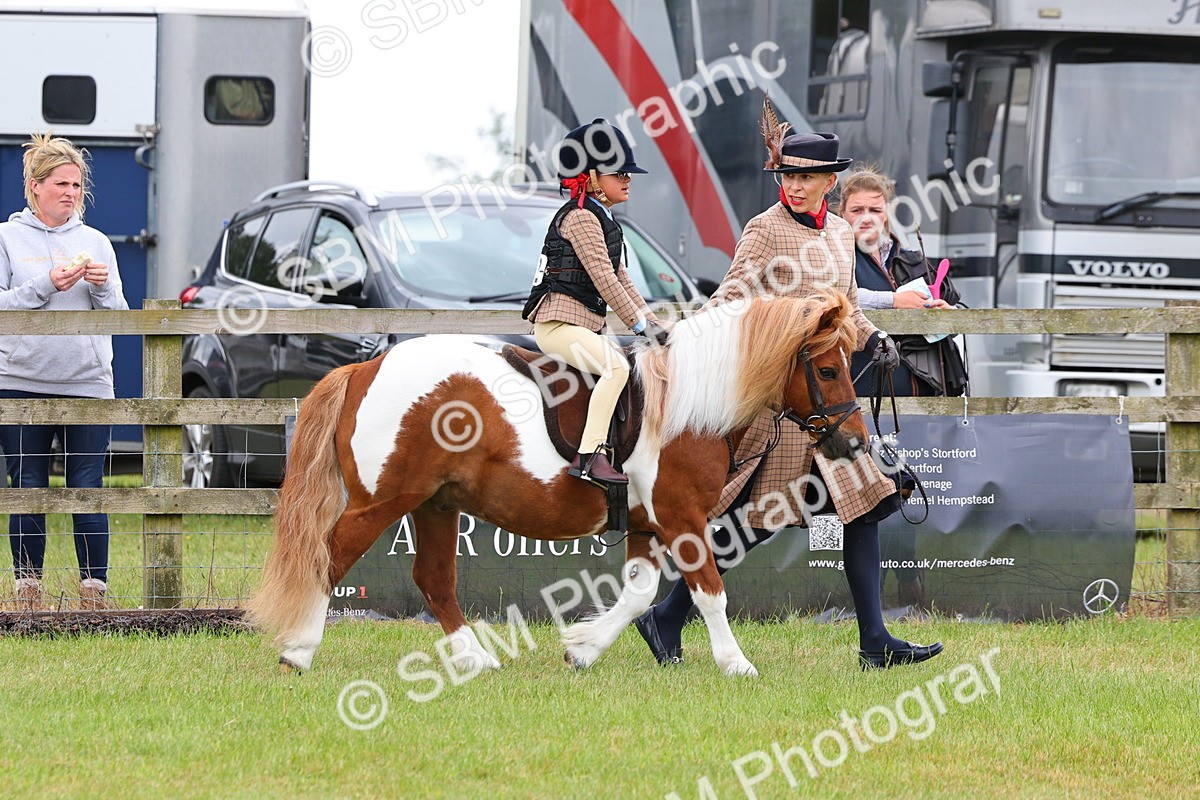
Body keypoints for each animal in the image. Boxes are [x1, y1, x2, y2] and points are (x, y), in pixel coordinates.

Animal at [245, 290, 869, 676]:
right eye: (829, 369)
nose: (856, 443)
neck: (689, 402)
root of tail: (366, 368)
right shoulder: (681, 517)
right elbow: (710, 591)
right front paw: (735, 663)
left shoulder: (646, 523)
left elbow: (639, 593)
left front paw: (583, 649)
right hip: (384, 501)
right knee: (329, 557)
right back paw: (299, 651)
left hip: (435, 505)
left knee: (433, 579)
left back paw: (474, 659)